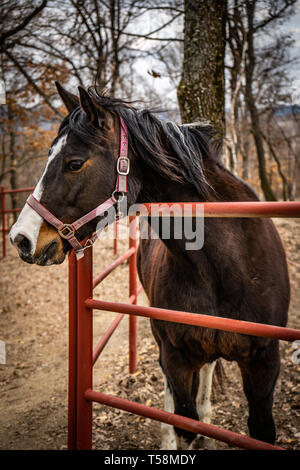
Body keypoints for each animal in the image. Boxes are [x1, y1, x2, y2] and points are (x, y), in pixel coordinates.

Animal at [9, 82, 290, 450]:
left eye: (74, 163)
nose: (20, 238)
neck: (227, 268)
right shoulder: (177, 358)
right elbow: (184, 423)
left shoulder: (264, 364)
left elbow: (259, 430)